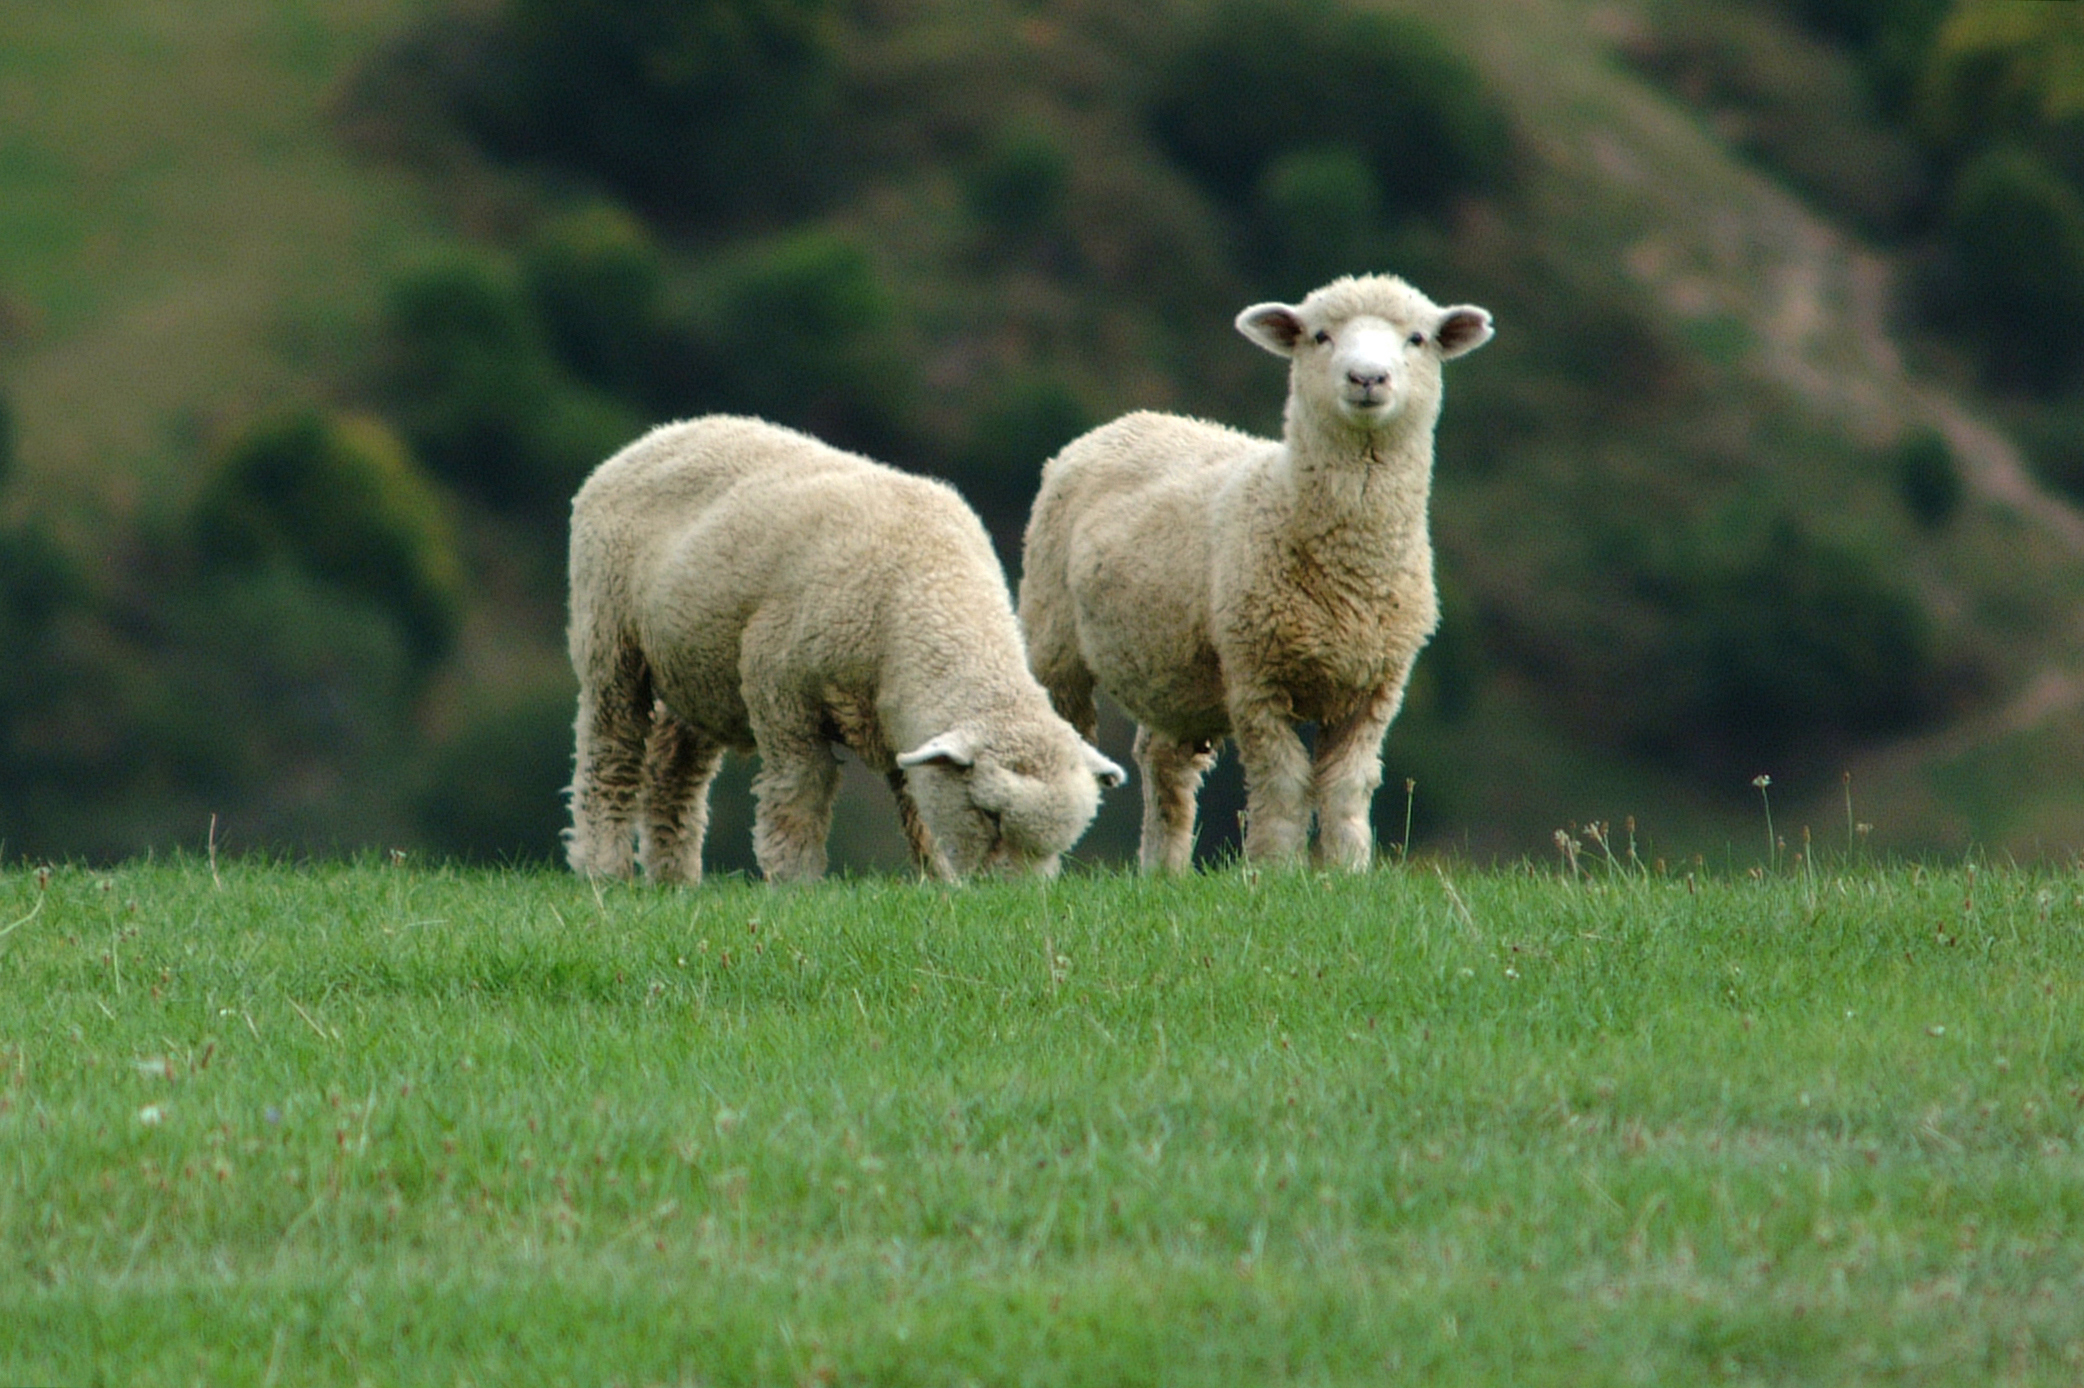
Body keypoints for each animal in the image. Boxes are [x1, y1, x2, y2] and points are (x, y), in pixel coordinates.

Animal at [566, 415, 1126, 884]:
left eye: (1061, 844)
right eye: (989, 815)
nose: (1014, 897)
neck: (929, 588)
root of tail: (652, 438)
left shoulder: (903, 722)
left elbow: (918, 807)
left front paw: (939, 881)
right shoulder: (781, 689)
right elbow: (800, 793)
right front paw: (796, 882)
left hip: (699, 668)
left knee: (674, 769)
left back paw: (675, 881)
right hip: (610, 639)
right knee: (610, 751)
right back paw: (604, 869)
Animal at [1019, 275, 1492, 872]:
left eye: (1417, 338)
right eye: (1319, 336)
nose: (1367, 378)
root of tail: (1134, 419)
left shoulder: (1376, 688)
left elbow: (1346, 788)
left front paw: (1346, 871)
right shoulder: (1257, 677)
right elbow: (1284, 786)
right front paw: (1273, 872)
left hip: (1174, 673)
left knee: (1163, 766)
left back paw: (1163, 873)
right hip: (1054, 642)